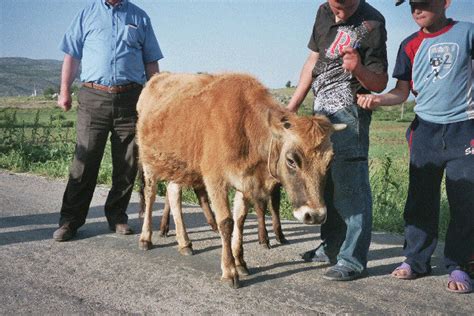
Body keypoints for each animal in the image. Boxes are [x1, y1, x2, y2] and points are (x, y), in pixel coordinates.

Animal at [135, 72, 342, 288]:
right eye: (291, 160)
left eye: (330, 161)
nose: (315, 215)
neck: (245, 125)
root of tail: (158, 76)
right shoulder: (215, 179)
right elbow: (226, 222)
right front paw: (229, 270)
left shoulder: (245, 180)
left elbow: (239, 219)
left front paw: (240, 262)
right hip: (149, 161)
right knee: (150, 195)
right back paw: (145, 238)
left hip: (180, 165)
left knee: (173, 193)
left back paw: (185, 242)